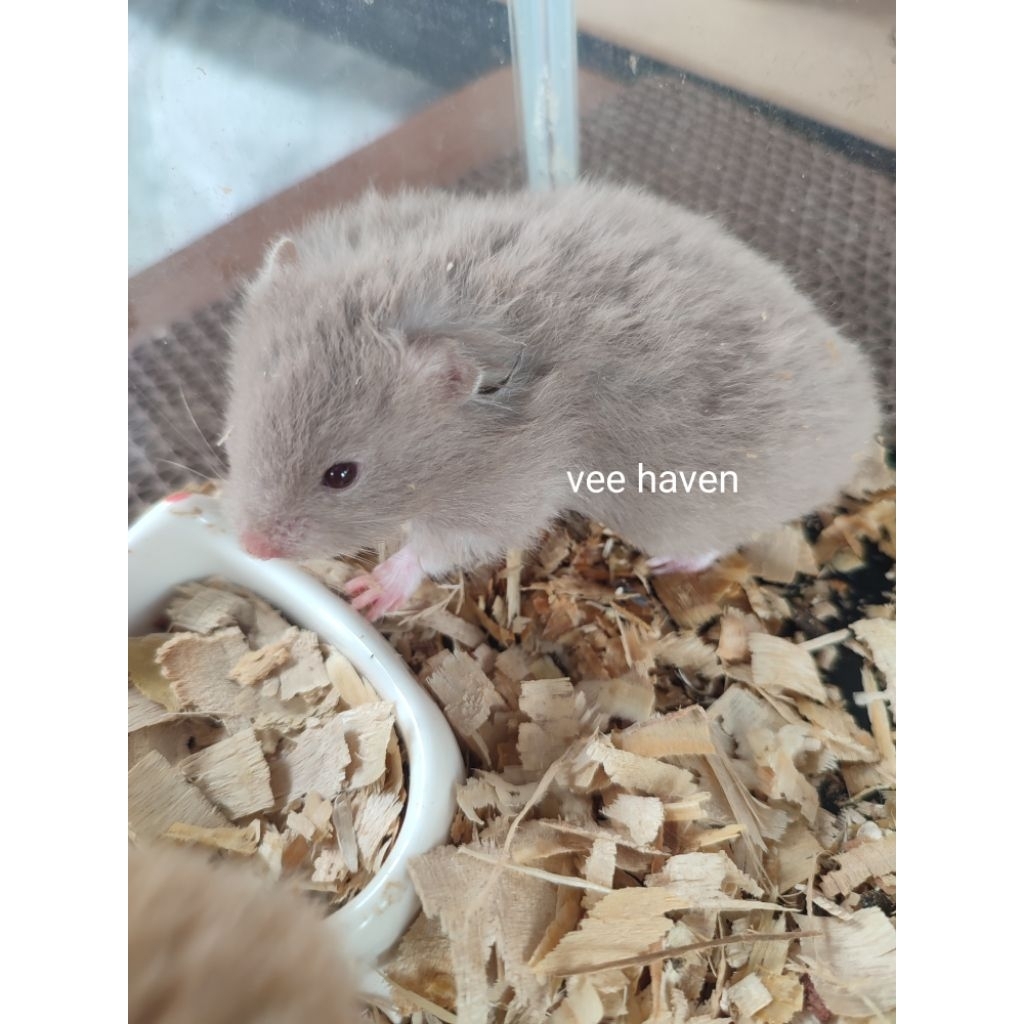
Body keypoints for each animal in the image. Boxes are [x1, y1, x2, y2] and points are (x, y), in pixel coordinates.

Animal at [224, 181, 879, 620]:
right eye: (236, 433)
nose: (251, 548)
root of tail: (867, 418)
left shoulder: (505, 496)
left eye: (341, 475)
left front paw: (368, 593)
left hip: (697, 509)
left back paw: (666, 566)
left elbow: (434, 548)